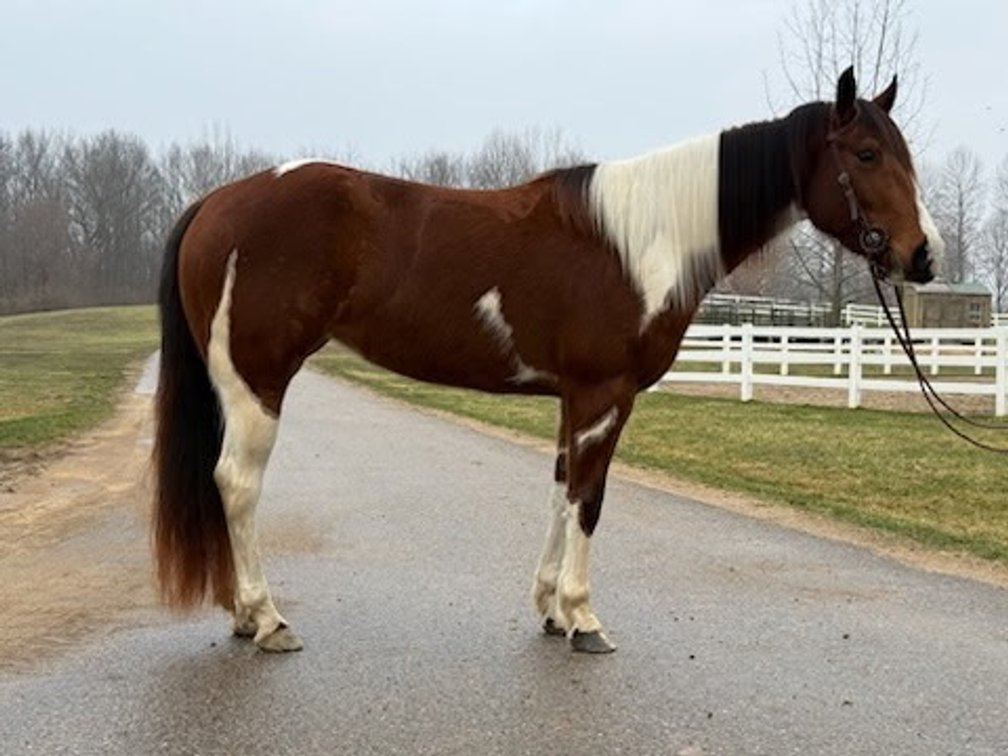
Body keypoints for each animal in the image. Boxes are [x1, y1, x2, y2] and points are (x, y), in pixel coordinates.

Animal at [153, 67, 941, 654]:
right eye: (866, 155)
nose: (924, 255)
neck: (640, 241)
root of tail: (218, 202)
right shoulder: (604, 394)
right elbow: (589, 499)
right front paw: (584, 617)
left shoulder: (574, 398)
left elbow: (561, 490)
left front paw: (551, 610)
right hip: (257, 380)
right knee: (237, 484)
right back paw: (265, 619)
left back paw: (243, 615)